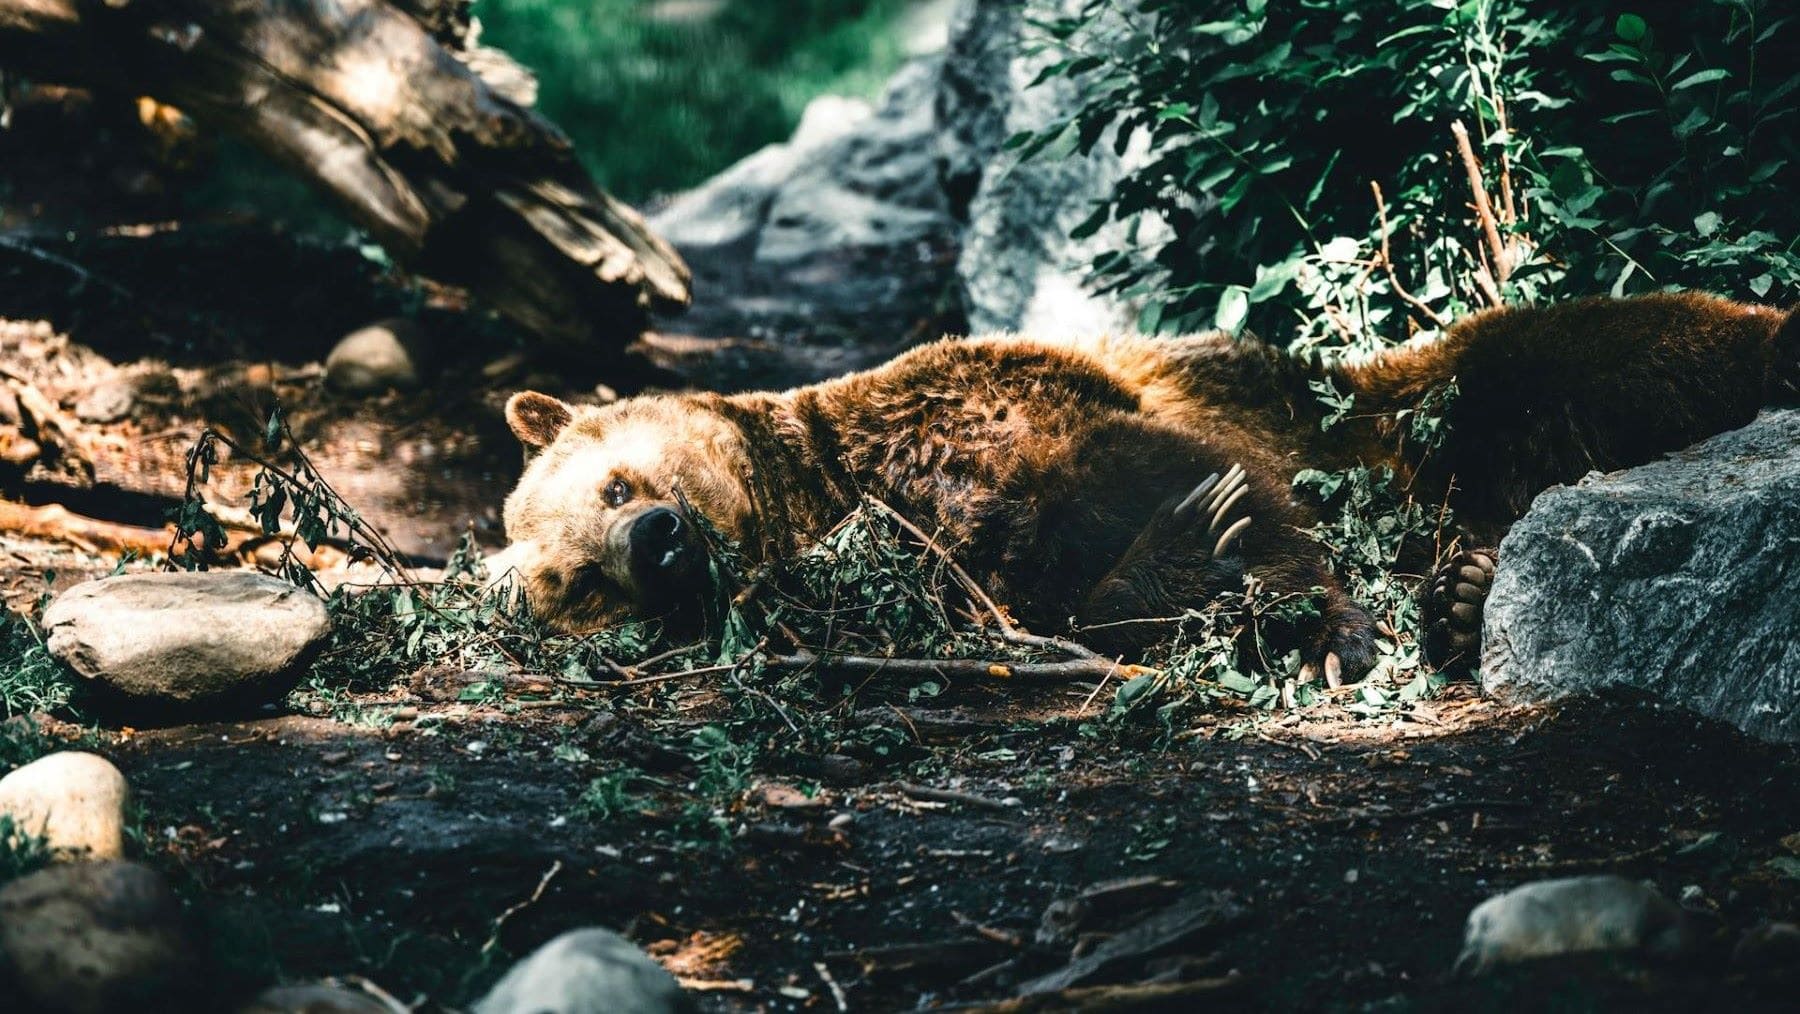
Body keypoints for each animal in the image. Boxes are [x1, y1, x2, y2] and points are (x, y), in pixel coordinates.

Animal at [496, 292, 1799, 683]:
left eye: (612, 484)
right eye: (577, 585)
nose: (658, 540)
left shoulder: (1000, 409)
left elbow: (1168, 480)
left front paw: (1279, 593)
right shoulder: (949, 553)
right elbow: (1078, 586)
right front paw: (1247, 592)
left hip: (1401, 409)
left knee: (1577, 352)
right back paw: (1466, 590)